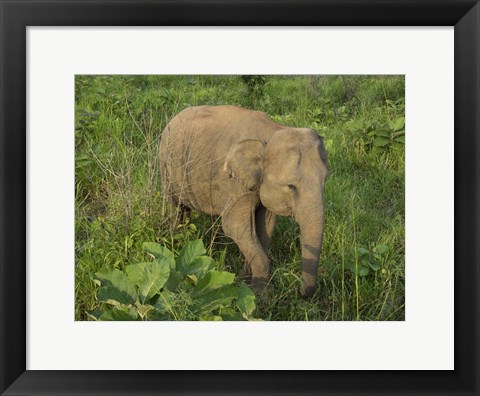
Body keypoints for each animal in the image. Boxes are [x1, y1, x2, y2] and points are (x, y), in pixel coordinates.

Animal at [159, 105, 328, 296]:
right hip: (166, 165)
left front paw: (247, 282)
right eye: (291, 186)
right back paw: (174, 243)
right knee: (175, 207)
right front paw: (262, 295)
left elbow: (265, 226)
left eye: (325, 180)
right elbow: (234, 226)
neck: (271, 131)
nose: (302, 293)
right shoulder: (232, 182)